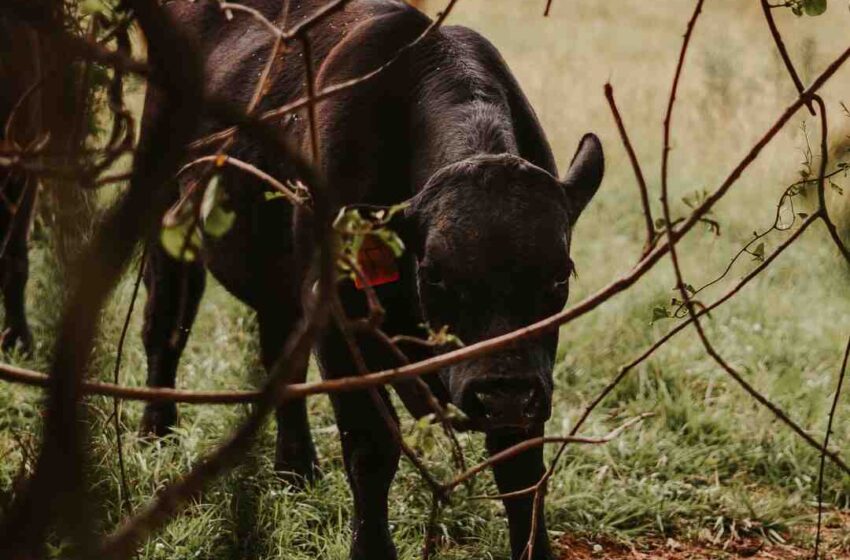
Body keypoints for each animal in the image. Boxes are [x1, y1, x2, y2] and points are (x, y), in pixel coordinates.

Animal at [139, 1, 604, 559]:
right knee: (166, 327)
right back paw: (155, 437)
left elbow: (521, 464)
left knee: (278, 356)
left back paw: (296, 468)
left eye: (560, 275)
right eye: (434, 274)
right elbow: (371, 447)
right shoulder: (339, 319)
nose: (502, 395)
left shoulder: (528, 370)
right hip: (166, 216)